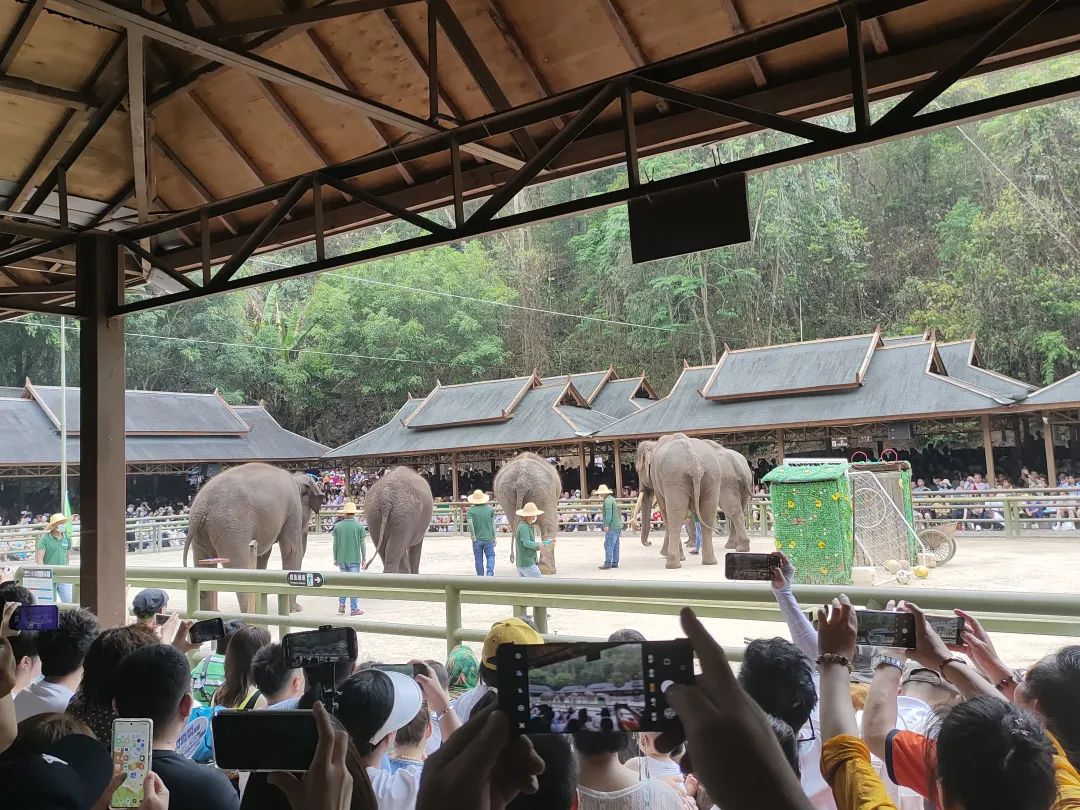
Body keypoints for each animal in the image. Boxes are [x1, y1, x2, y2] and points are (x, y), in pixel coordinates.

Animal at [184, 463, 324, 614]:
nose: (308, 528)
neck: (296, 479)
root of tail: (201, 506)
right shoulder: (293, 510)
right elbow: (291, 550)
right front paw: (296, 609)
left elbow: (263, 555)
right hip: (231, 529)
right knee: (239, 567)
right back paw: (252, 612)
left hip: (202, 532)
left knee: (203, 564)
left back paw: (211, 613)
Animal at [633, 433, 723, 569]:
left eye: (638, 470)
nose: (649, 542)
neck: (653, 444)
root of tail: (694, 462)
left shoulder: (657, 479)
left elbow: (665, 510)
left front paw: (667, 555)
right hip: (713, 476)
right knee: (708, 513)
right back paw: (710, 562)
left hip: (674, 477)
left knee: (675, 516)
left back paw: (672, 564)